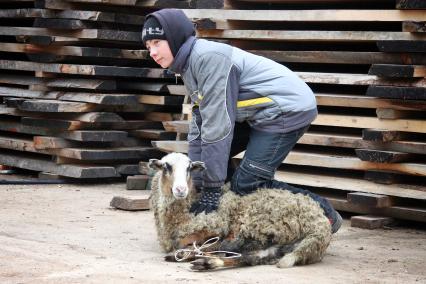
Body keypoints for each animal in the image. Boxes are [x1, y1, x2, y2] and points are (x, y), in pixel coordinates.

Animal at [148, 153, 332, 270]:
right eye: (166, 167)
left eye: (189, 168)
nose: (181, 190)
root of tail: (321, 227)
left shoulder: (214, 230)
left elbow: (196, 243)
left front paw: (185, 251)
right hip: (279, 245)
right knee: (250, 258)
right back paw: (207, 263)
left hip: (258, 228)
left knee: (230, 248)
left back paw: (198, 258)